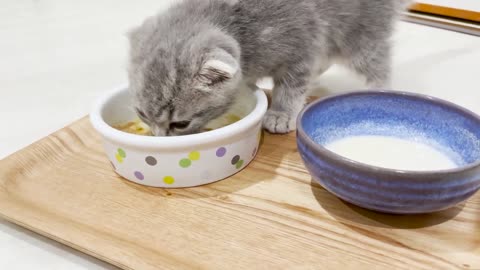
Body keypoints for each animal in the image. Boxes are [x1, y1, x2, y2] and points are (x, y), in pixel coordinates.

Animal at [127, 0, 408, 135]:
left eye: (180, 124)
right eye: (141, 114)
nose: (159, 139)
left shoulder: (303, 46)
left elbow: (292, 87)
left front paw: (281, 113)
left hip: (361, 39)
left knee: (378, 66)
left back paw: (378, 93)